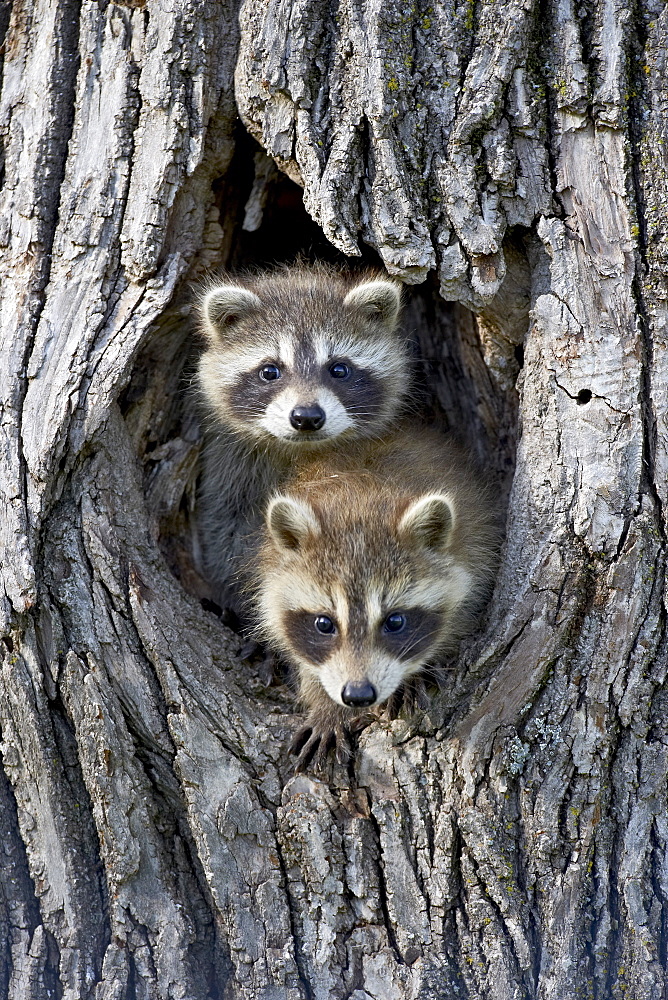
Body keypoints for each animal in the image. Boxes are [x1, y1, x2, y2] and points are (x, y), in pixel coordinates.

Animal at [196, 266, 410, 608]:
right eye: (270, 371)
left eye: (339, 369)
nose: (307, 417)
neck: (300, 452)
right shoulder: (232, 467)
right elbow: (225, 525)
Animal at [253, 428, 498, 764]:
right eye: (324, 624)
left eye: (395, 621)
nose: (357, 695)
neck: (360, 499)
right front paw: (326, 705)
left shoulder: (476, 548)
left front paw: (414, 672)